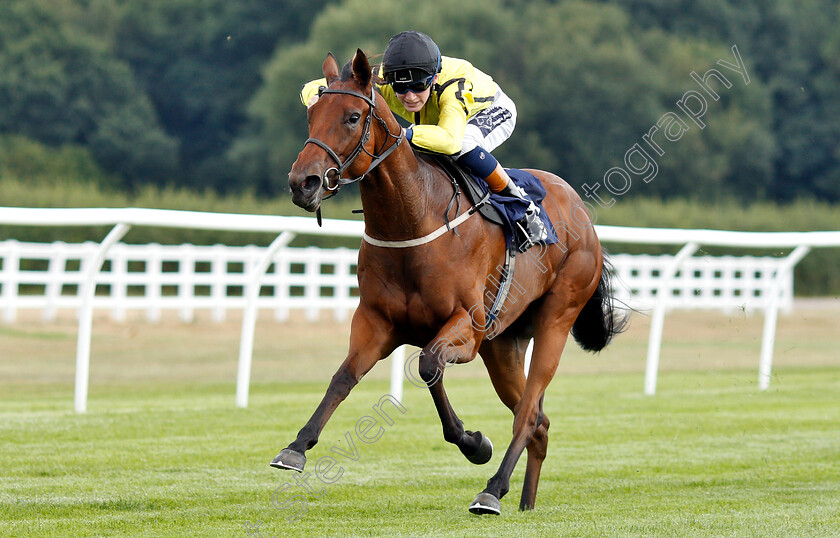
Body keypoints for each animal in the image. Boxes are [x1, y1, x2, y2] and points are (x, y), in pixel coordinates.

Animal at [274, 50, 624, 516]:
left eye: (352, 117)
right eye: (311, 116)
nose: (303, 183)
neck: (412, 220)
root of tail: (582, 212)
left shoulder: (467, 327)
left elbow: (427, 365)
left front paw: (473, 444)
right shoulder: (376, 322)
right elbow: (346, 377)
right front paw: (296, 447)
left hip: (556, 317)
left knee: (529, 413)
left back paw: (492, 490)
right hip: (503, 344)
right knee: (540, 422)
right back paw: (525, 502)